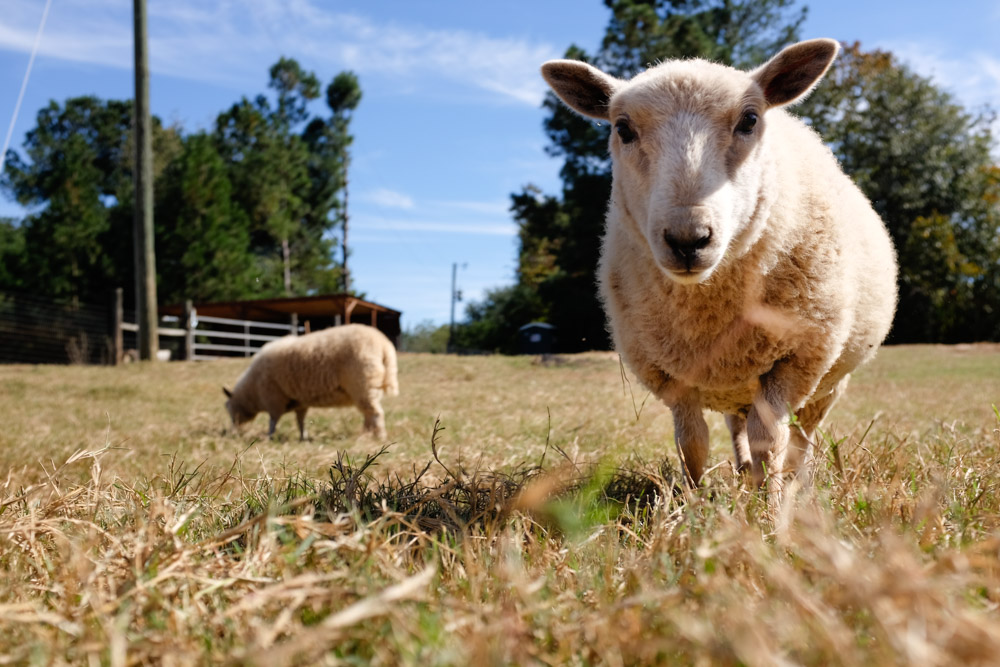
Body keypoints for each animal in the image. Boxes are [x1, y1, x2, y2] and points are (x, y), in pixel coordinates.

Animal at [225, 324, 400, 440]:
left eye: (228, 409)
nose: (232, 431)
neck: (252, 392)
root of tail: (384, 344)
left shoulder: (273, 397)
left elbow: (273, 420)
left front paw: (270, 437)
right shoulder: (300, 402)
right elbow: (300, 421)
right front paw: (303, 437)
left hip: (363, 384)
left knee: (376, 414)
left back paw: (379, 437)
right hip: (370, 388)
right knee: (369, 413)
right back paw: (366, 434)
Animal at [544, 39, 904, 494]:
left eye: (750, 120)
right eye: (622, 128)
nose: (687, 239)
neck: (706, 309)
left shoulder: (795, 358)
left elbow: (770, 439)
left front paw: (769, 506)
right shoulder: (672, 374)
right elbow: (691, 444)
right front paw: (694, 503)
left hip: (828, 379)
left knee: (803, 432)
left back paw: (795, 482)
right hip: (737, 379)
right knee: (739, 427)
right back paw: (743, 472)